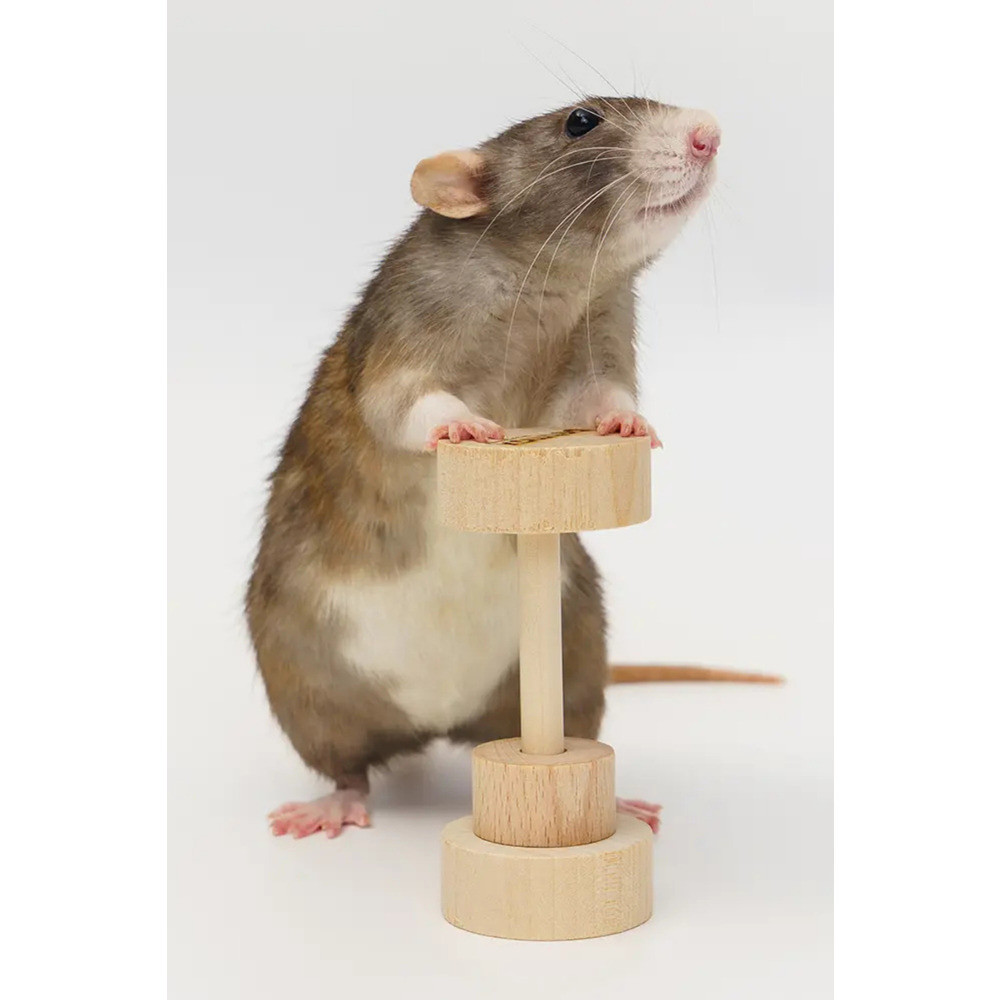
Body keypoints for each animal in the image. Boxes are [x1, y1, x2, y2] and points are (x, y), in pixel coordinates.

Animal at [248, 97, 746, 841]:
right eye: (580, 121)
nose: (706, 132)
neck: (547, 284)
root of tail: (436, 723)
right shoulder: (411, 313)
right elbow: (399, 401)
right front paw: (458, 423)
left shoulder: (602, 323)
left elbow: (598, 393)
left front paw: (627, 421)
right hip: (306, 693)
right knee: (346, 763)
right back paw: (335, 801)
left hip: (575, 657)